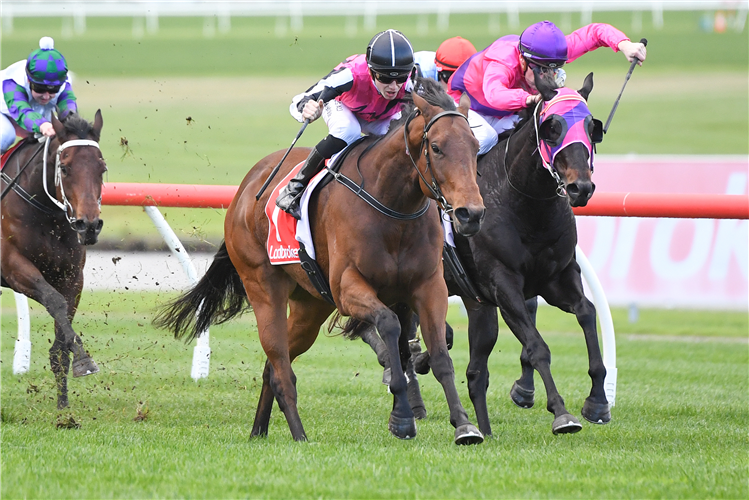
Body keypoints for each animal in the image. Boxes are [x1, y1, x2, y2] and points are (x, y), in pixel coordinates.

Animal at [0, 112, 106, 410]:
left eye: (102, 168)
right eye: (66, 168)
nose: (89, 225)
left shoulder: (72, 276)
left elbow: (62, 328)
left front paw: (63, 405)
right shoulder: (13, 266)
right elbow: (54, 300)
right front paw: (84, 359)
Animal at [156, 78, 486, 446]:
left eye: (475, 146)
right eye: (437, 147)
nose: (470, 214)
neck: (393, 206)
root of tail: (245, 188)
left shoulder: (428, 287)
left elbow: (440, 354)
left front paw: (464, 425)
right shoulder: (347, 288)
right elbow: (389, 326)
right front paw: (402, 419)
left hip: (310, 306)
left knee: (274, 366)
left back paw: (259, 430)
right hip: (263, 287)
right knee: (281, 365)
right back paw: (299, 436)